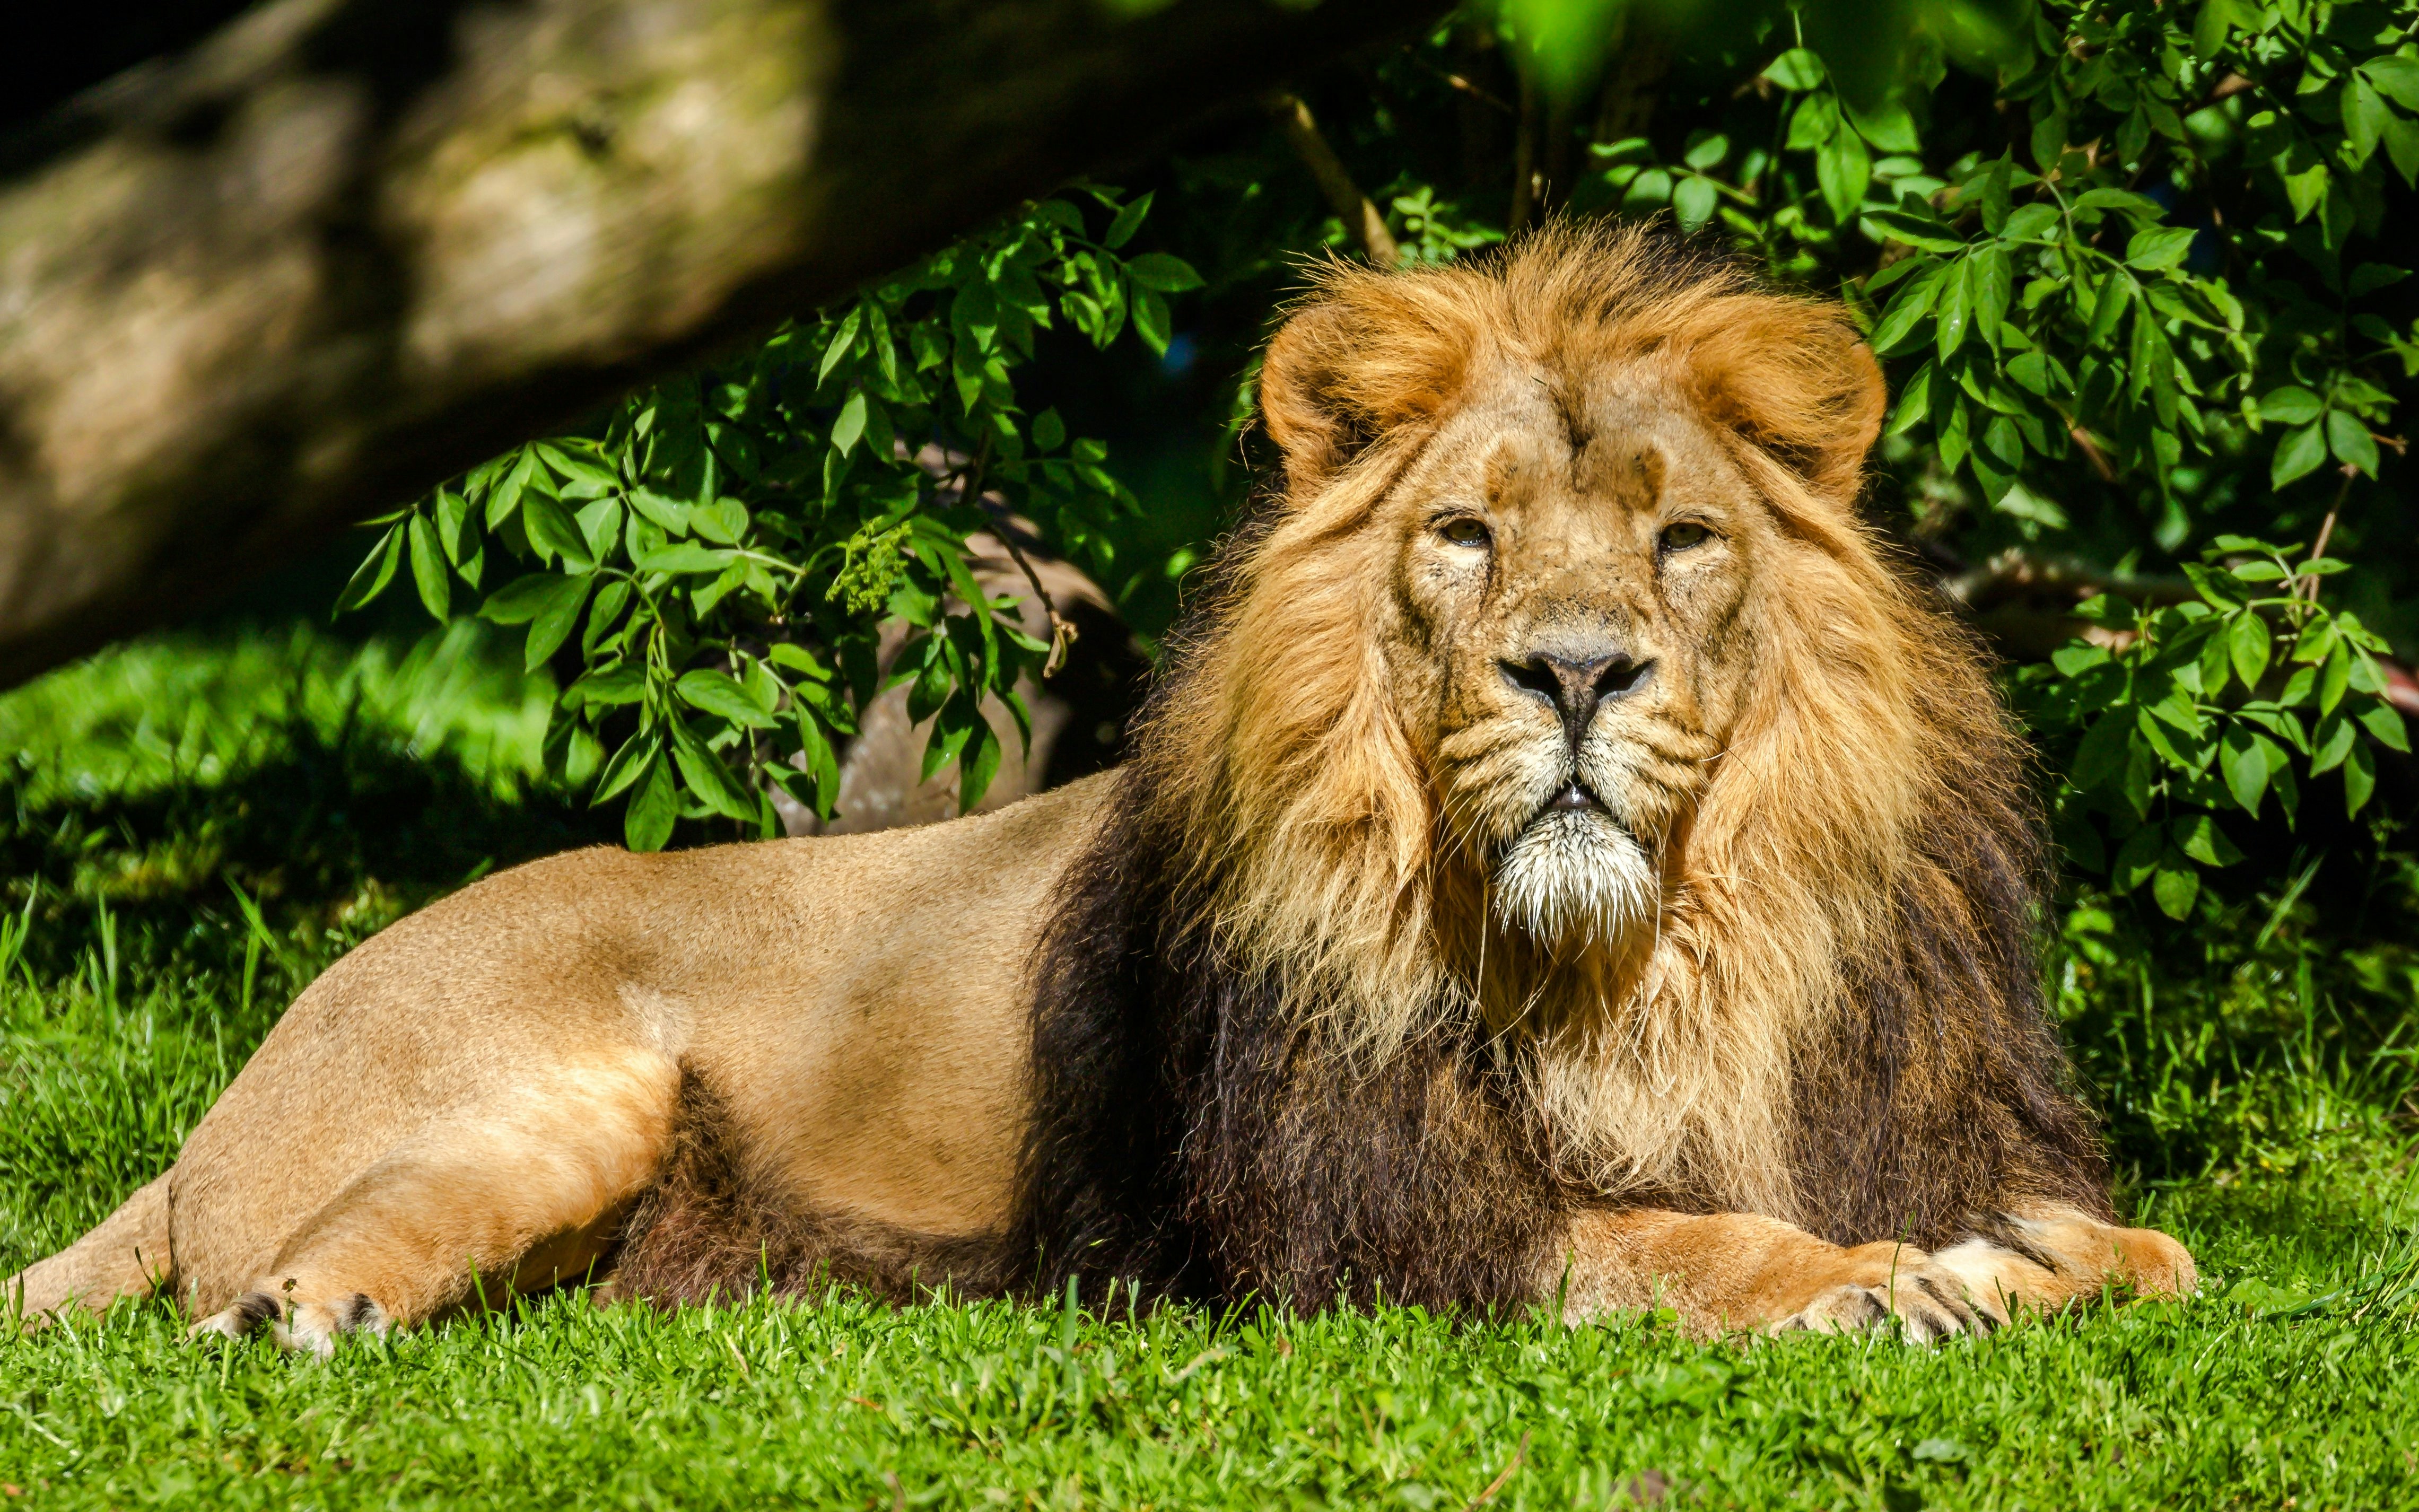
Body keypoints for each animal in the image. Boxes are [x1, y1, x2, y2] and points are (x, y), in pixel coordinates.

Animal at [10, 225, 2194, 1352]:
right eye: (1468, 536)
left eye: (1678, 541)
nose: (1574, 671)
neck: (1645, 957)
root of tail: (223, 1104)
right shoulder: (1363, 1227)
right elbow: (1678, 1240)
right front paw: (1882, 1282)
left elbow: (2147, 1247)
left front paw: (2034, 1255)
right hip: (541, 1087)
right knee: (280, 1266)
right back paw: (302, 1321)